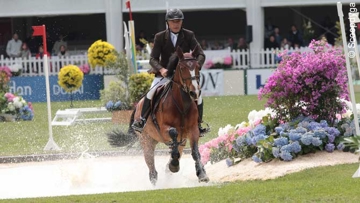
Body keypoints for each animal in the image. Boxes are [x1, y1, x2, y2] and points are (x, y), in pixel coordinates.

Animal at [106, 45, 208, 185]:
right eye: (182, 68)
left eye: (198, 66)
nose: (195, 93)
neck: (182, 105)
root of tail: (137, 105)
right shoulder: (164, 129)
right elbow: (173, 133)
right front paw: (174, 165)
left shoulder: (193, 130)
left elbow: (195, 152)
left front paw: (202, 174)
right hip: (146, 141)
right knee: (152, 169)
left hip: (179, 141)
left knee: (176, 150)